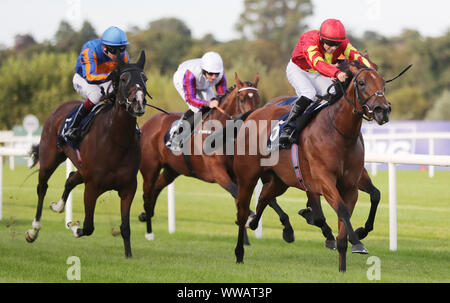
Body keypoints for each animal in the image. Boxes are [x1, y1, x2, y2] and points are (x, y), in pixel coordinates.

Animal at [25, 50, 149, 258]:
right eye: (124, 79)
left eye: (145, 78)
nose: (138, 102)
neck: (117, 140)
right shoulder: (92, 188)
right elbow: (89, 226)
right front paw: (74, 226)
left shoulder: (128, 187)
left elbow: (125, 227)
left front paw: (129, 255)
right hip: (50, 159)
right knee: (42, 187)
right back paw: (34, 230)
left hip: (82, 169)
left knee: (70, 178)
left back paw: (58, 206)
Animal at [139, 73, 294, 245]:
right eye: (242, 99)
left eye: (258, 98)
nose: (255, 121)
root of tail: (148, 122)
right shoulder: (217, 173)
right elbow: (238, 194)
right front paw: (249, 219)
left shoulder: (237, 173)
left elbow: (264, 198)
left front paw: (285, 226)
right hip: (150, 168)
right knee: (148, 193)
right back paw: (148, 231)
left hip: (171, 170)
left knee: (156, 188)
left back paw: (146, 215)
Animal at [232, 61, 390, 274]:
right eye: (362, 83)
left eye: (383, 83)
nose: (383, 110)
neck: (339, 132)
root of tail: (254, 113)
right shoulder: (323, 179)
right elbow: (341, 209)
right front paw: (356, 241)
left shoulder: (350, 185)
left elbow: (358, 207)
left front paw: (343, 264)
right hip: (247, 177)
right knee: (242, 212)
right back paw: (240, 252)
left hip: (280, 180)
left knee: (265, 196)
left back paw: (260, 223)